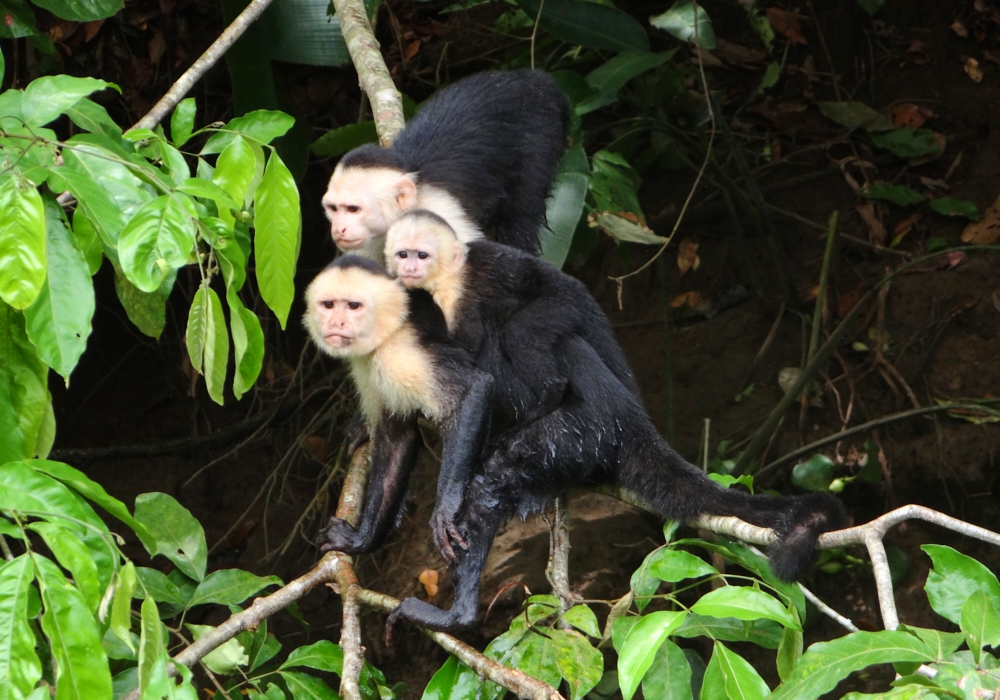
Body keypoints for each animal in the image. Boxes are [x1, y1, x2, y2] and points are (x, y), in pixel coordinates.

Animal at [304, 256, 844, 636]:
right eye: (330, 304)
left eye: (353, 305)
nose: (337, 324)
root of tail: (633, 420)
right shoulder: (369, 365)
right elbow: (395, 441)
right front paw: (360, 539)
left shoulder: (405, 348)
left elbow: (473, 392)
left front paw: (446, 504)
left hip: (585, 430)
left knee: (503, 463)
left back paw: (457, 616)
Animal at [322, 69, 568, 260]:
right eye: (334, 209)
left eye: (353, 209)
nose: (338, 229)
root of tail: (531, 81)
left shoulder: (438, 221)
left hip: (540, 131)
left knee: (521, 214)